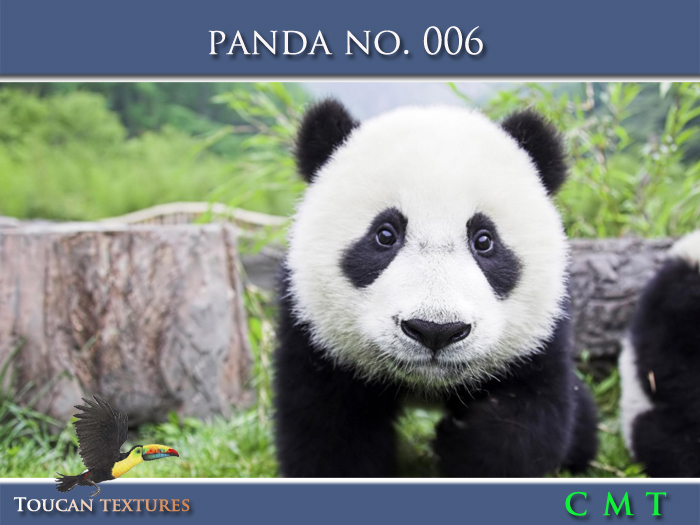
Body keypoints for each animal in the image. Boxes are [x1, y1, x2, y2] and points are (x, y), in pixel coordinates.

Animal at [273, 99, 598, 477]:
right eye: (385, 234)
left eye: (484, 240)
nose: (435, 330)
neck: (427, 383)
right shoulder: (315, 336)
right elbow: (328, 431)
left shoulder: (540, 337)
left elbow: (527, 423)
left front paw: (461, 443)